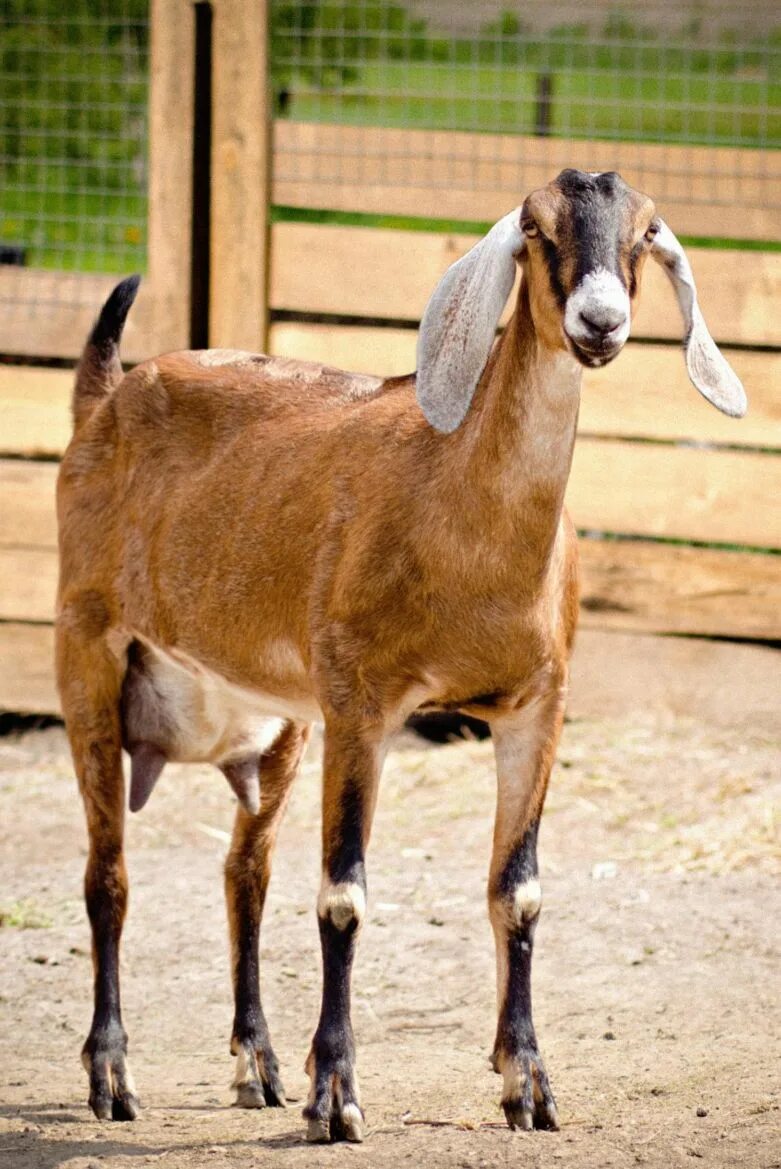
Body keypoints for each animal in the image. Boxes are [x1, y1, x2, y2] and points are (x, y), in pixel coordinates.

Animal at [56, 170, 743, 1140]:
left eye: (643, 233)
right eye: (536, 229)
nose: (600, 321)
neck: (456, 514)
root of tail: (106, 395)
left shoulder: (536, 706)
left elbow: (516, 890)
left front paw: (526, 1083)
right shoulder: (361, 702)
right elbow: (343, 896)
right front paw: (336, 1095)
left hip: (278, 722)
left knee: (244, 872)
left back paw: (258, 1063)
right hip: (89, 647)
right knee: (108, 873)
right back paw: (113, 1075)